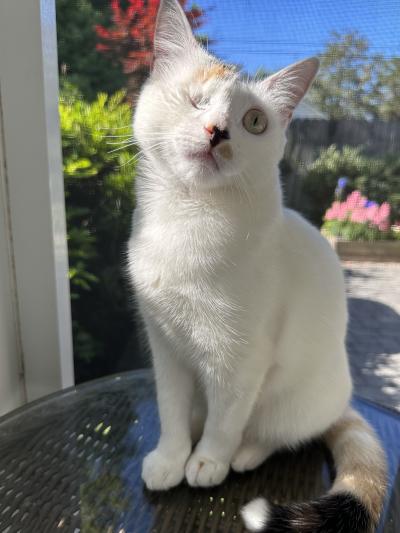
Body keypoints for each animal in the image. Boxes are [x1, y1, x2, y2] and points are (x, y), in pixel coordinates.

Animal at [126, 1, 386, 528]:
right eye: (195, 100)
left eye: (254, 122)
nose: (217, 132)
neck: (187, 220)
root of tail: (342, 399)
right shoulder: (164, 344)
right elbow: (170, 407)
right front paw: (170, 457)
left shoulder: (240, 357)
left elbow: (226, 418)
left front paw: (207, 461)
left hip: (291, 400)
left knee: (274, 433)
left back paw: (243, 454)